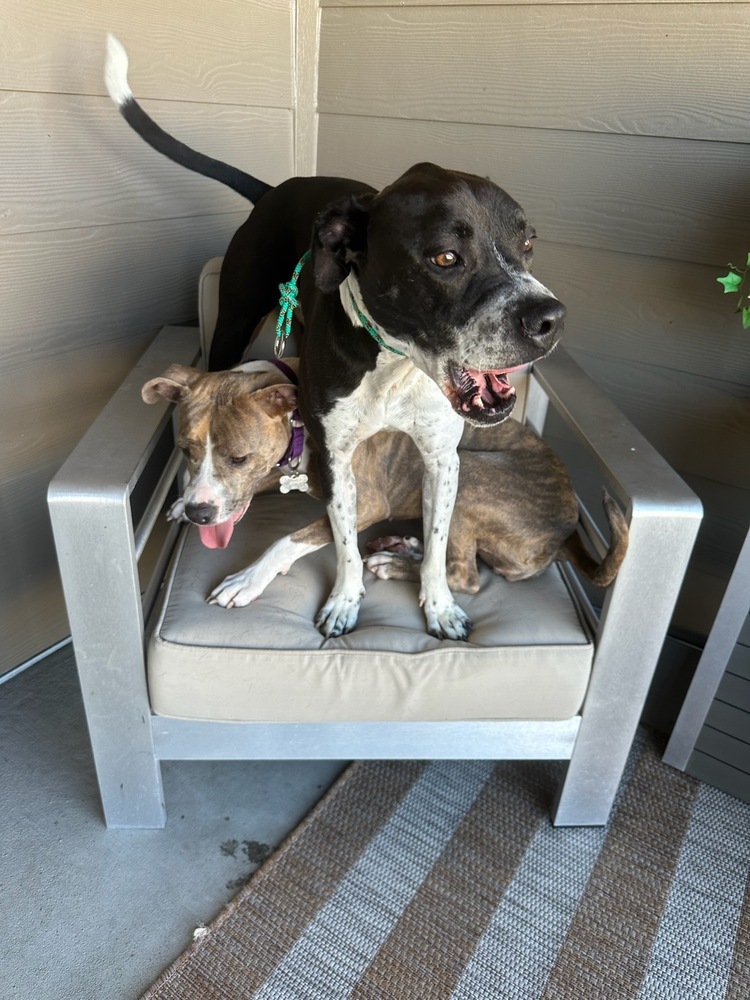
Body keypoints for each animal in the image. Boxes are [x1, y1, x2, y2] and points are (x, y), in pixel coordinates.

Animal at [104, 37, 564, 640]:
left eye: (528, 244)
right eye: (445, 257)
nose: (550, 319)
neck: (393, 365)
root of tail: (276, 190)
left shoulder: (442, 459)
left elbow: (439, 545)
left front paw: (438, 606)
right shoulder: (340, 460)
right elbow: (343, 544)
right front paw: (345, 600)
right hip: (233, 320)